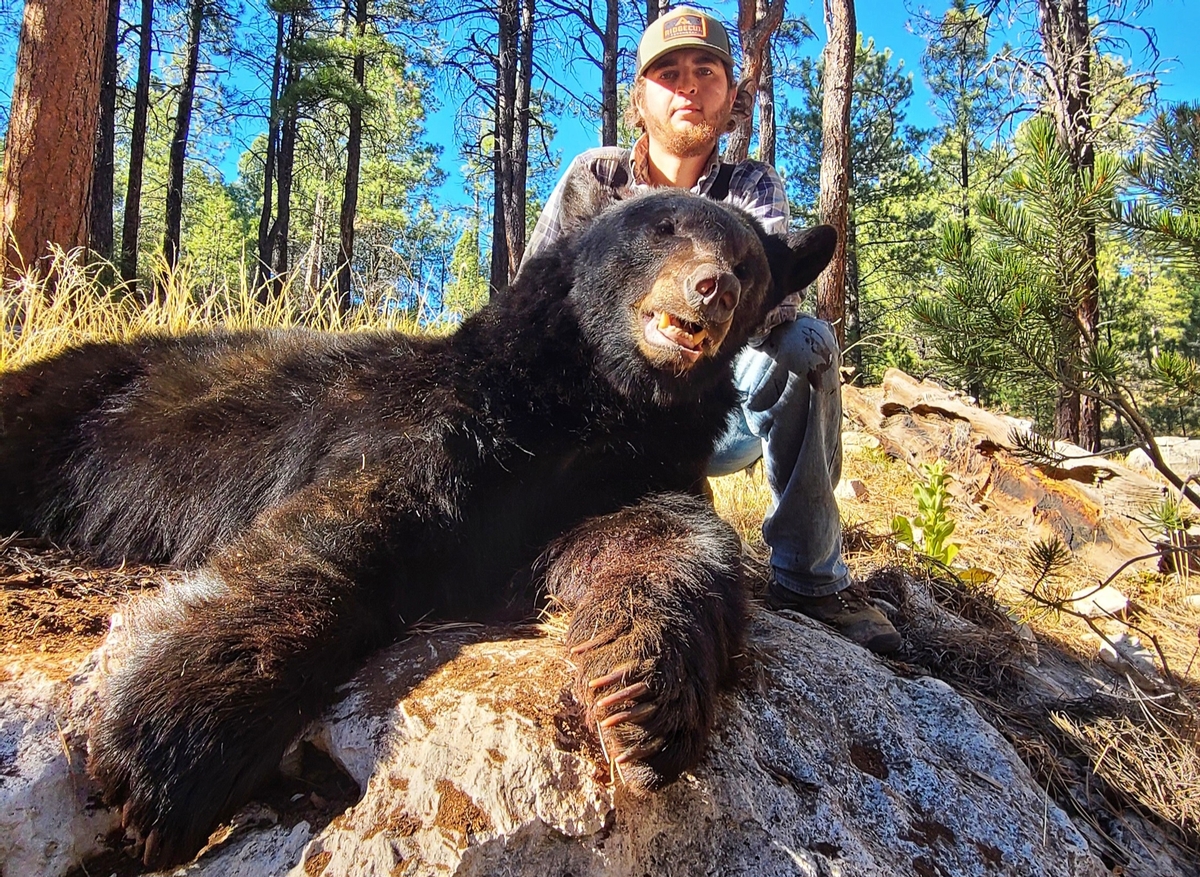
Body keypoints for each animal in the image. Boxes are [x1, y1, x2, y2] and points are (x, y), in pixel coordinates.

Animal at [0, 188, 835, 868]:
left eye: (748, 262)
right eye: (663, 228)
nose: (712, 287)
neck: (593, 400)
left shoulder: (616, 470)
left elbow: (668, 533)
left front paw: (643, 698)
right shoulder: (439, 420)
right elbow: (342, 530)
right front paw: (166, 751)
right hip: (62, 409)